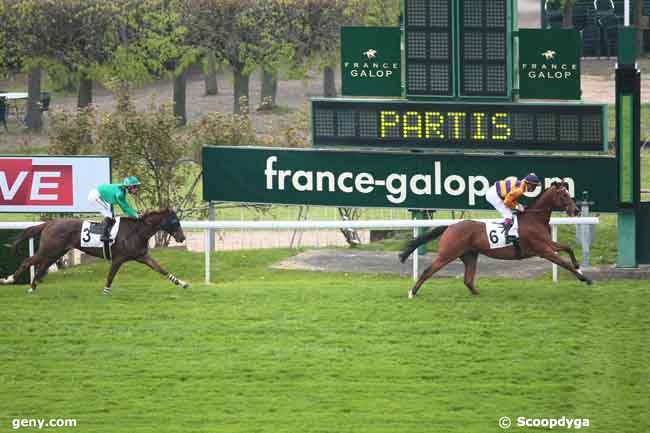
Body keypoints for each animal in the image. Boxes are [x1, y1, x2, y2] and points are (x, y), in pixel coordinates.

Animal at [1, 208, 190, 294]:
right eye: (175, 222)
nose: (182, 238)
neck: (136, 231)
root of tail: (49, 223)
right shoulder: (118, 258)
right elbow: (111, 275)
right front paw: (106, 291)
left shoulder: (142, 256)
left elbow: (161, 269)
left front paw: (181, 283)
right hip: (49, 249)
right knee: (28, 261)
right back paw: (9, 280)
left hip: (56, 252)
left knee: (41, 267)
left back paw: (32, 287)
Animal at [398, 181, 588, 298]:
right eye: (564, 195)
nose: (577, 210)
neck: (535, 219)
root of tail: (450, 226)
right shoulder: (543, 249)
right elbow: (564, 263)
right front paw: (585, 278)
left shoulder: (548, 244)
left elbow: (568, 247)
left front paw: (579, 266)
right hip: (447, 254)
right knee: (428, 271)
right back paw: (412, 292)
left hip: (470, 255)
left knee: (468, 279)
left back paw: (478, 294)